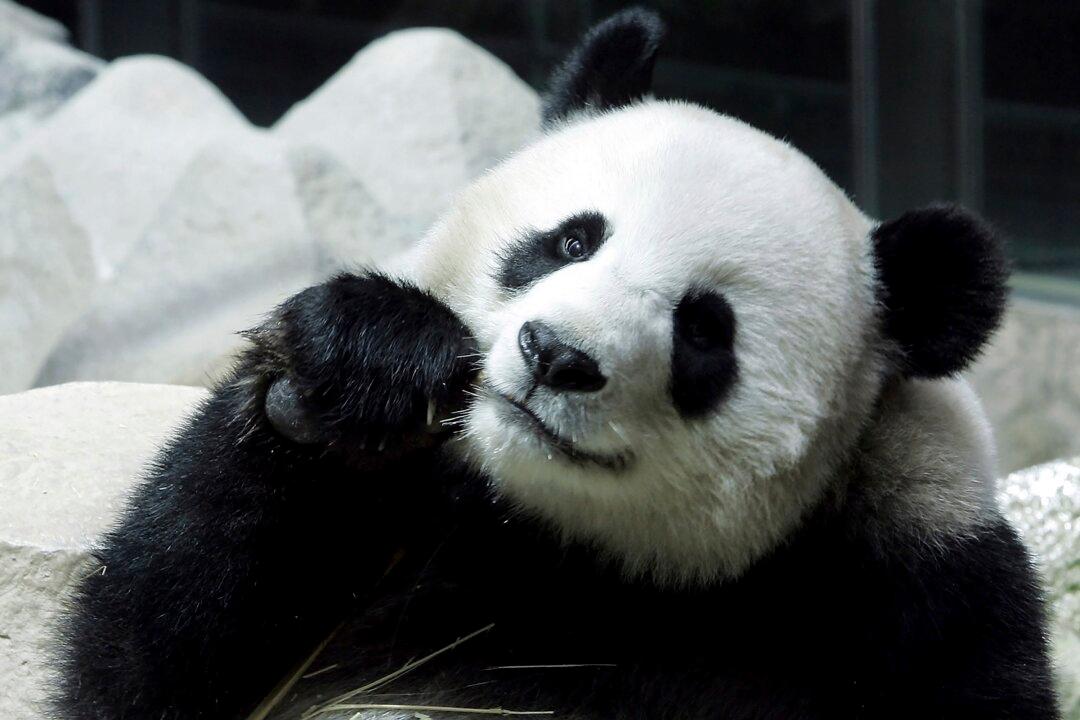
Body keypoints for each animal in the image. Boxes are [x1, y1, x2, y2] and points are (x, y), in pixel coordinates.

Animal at [57, 9, 1059, 720]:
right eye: (571, 240)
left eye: (705, 331)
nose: (559, 355)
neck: (565, 546)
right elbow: (143, 659)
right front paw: (362, 363)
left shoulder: (921, 591)